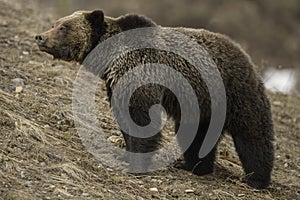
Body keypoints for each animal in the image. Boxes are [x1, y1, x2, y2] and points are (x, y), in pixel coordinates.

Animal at [35, 10, 274, 188]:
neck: (111, 56)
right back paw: (195, 166)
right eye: (56, 23)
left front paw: (137, 162)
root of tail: (244, 54)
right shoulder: (117, 84)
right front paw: (127, 154)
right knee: (198, 135)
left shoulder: (140, 72)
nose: (40, 36)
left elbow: (141, 120)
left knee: (253, 135)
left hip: (234, 92)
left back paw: (256, 179)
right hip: (199, 104)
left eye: (64, 27)